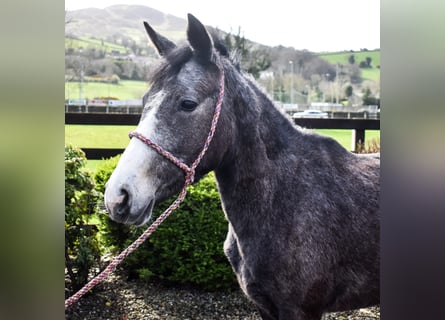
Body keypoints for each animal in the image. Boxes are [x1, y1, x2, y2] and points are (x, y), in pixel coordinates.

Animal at [104, 13, 378, 318]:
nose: (118, 196)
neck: (285, 196)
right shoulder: (265, 306)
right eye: (144, 102)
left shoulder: (300, 310)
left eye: (187, 103)